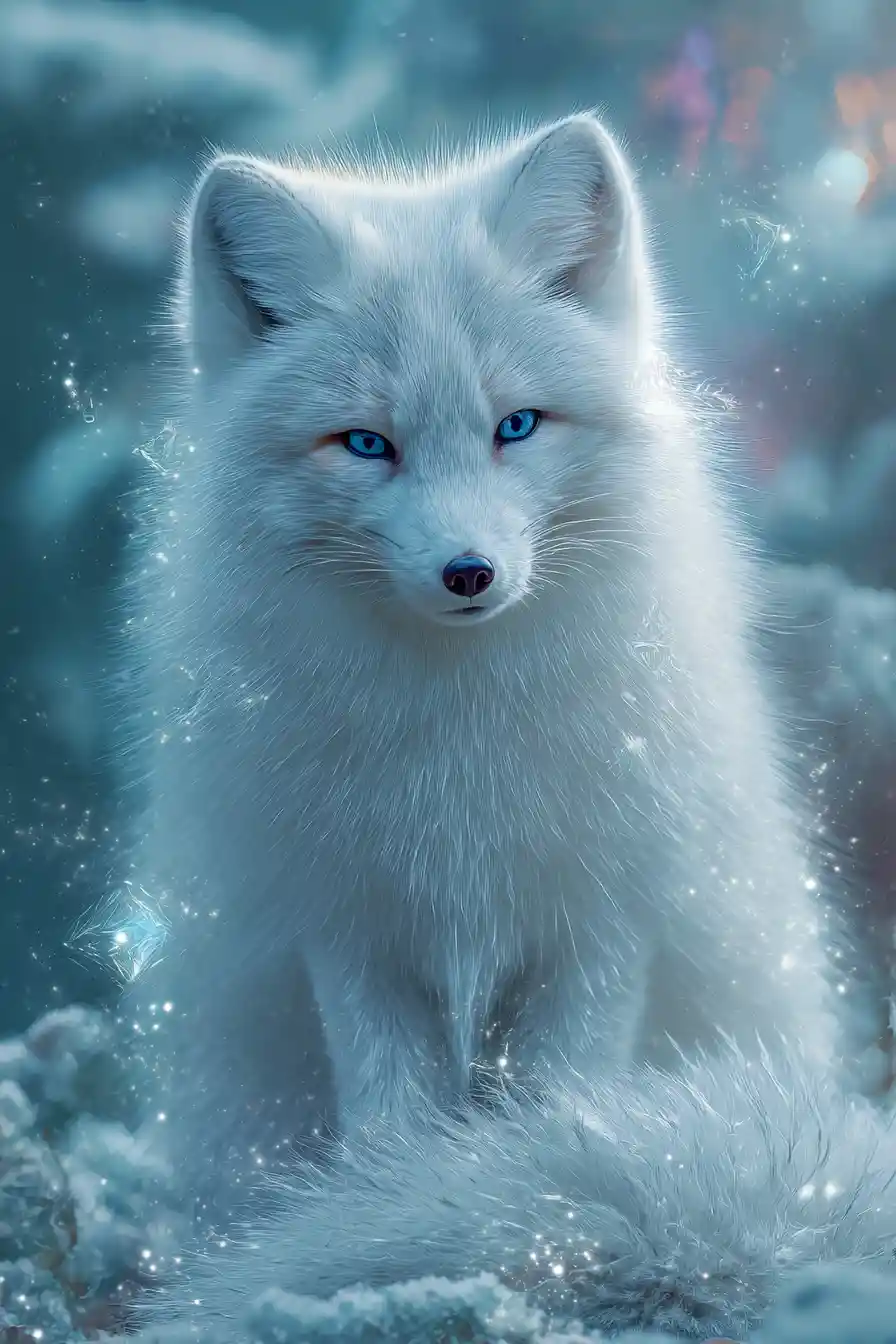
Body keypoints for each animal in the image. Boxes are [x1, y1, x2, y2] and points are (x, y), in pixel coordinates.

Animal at [125, 112, 841, 1217]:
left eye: (516, 425)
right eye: (365, 444)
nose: (469, 573)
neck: (458, 752)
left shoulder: (604, 919)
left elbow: (562, 1094)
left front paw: (541, 1184)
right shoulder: (349, 925)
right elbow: (389, 1121)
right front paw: (386, 1208)